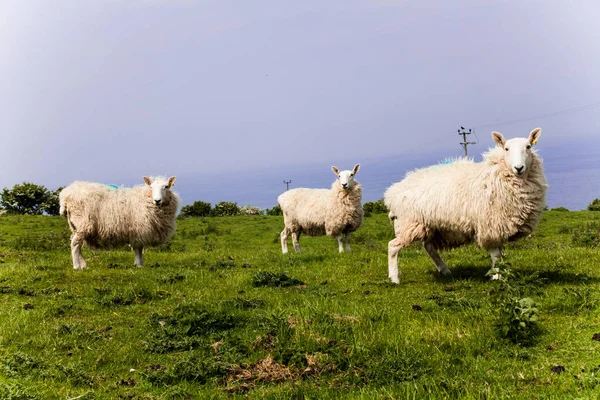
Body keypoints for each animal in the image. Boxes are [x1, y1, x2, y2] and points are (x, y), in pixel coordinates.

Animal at [384, 129, 548, 284]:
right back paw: (394, 278)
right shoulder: (489, 226)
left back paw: (444, 270)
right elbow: (496, 255)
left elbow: (500, 255)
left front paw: (498, 274)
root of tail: (392, 192)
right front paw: (496, 277)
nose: (518, 167)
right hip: (410, 223)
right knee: (393, 246)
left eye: (528, 147)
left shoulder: (499, 228)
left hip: (430, 225)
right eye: (506, 149)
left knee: (428, 247)